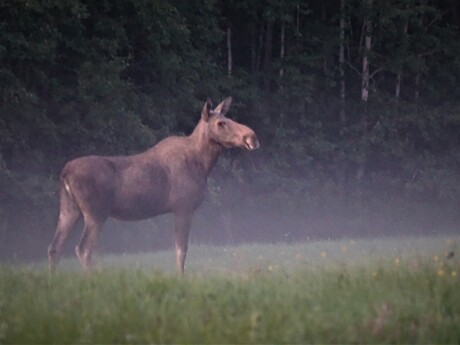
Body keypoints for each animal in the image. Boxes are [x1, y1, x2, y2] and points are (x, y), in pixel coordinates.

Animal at [48, 97, 260, 274]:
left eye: (228, 117)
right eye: (221, 123)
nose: (252, 137)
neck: (203, 164)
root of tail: (64, 174)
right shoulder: (183, 207)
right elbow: (181, 250)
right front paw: (180, 278)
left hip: (69, 209)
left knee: (54, 248)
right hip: (95, 213)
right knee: (83, 249)